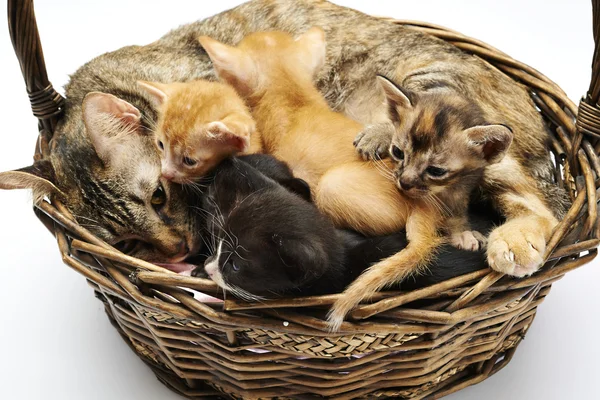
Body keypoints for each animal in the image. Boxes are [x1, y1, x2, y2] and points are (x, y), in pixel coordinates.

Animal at [0, 0, 568, 276]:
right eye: (129, 244)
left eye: (159, 197)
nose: (178, 246)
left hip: (442, 105)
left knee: (539, 206)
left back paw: (510, 242)